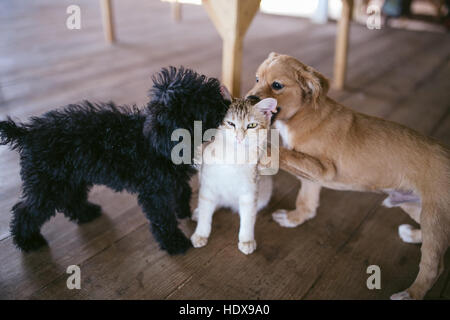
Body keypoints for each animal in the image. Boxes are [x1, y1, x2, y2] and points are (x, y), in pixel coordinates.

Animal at [0, 67, 230, 255]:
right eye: (202, 102)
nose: (227, 102)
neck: (156, 142)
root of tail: (28, 132)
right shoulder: (154, 192)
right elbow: (163, 218)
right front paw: (174, 242)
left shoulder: (172, 181)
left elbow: (183, 191)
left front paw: (183, 211)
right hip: (46, 184)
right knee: (25, 211)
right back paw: (27, 241)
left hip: (69, 178)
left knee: (71, 199)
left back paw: (87, 213)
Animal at [191, 96, 278, 254]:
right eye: (230, 123)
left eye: (252, 125)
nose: (239, 137)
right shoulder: (208, 186)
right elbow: (206, 211)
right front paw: (201, 233)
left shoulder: (250, 192)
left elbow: (248, 218)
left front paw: (247, 240)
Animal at [246, 52, 450, 300]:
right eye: (257, 79)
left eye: (277, 85)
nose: (249, 99)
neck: (304, 116)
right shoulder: (312, 176)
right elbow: (306, 201)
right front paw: (294, 219)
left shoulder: (324, 169)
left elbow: (281, 153)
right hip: (413, 205)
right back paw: (412, 235)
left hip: (435, 214)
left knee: (434, 266)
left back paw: (410, 294)